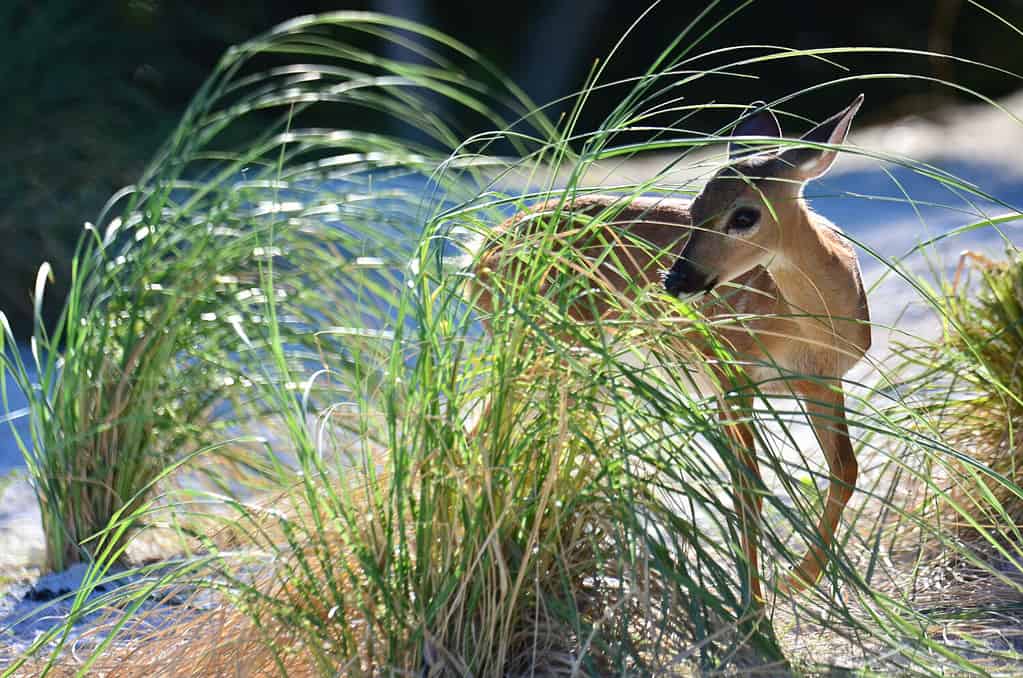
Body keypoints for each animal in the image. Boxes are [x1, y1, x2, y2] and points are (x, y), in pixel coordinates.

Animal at [470, 96, 871, 605]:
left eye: (745, 215)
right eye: (695, 206)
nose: (675, 279)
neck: (812, 330)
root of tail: (477, 254)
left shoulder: (822, 379)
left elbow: (845, 471)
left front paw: (798, 579)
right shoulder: (729, 369)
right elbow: (748, 488)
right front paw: (755, 607)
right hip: (542, 344)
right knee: (486, 431)